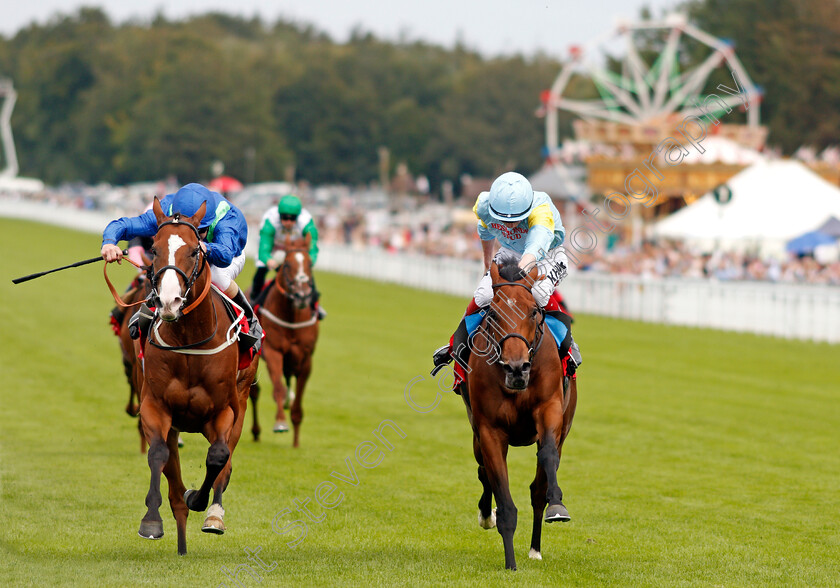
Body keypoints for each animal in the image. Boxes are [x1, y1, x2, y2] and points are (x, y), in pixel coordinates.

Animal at [135, 199, 258, 556]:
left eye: (193, 251)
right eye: (154, 248)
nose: (168, 302)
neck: (190, 339)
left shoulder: (224, 411)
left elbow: (218, 457)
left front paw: (201, 502)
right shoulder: (155, 406)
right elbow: (158, 454)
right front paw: (152, 520)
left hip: (240, 401)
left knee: (225, 462)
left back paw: (213, 514)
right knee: (171, 470)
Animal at [256, 233, 318, 446]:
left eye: (309, 263)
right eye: (287, 264)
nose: (302, 295)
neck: (292, 316)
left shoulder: (306, 358)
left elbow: (298, 399)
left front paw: (296, 442)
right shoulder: (273, 352)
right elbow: (277, 389)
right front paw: (280, 422)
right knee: (255, 392)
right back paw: (256, 432)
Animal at [460, 258, 576, 568]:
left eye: (534, 311)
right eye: (493, 312)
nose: (516, 368)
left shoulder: (549, 410)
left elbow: (547, 458)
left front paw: (557, 505)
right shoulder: (489, 430)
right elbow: (502, 494)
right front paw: (510, 563)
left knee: (537, 487)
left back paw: (535, 547)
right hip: (476, 433)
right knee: (483, 470)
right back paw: (486, 515)